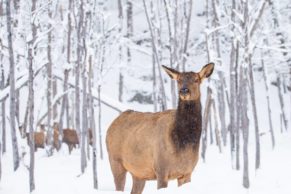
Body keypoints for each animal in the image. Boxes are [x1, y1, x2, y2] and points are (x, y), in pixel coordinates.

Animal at [106, 63, 214, 193]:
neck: (183, 142)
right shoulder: (161, 169)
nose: (183, 90)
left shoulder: (187, 172)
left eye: (196, 80)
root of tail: (111, 125)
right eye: (179, 80)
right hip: (115, 162)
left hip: (139, 173)